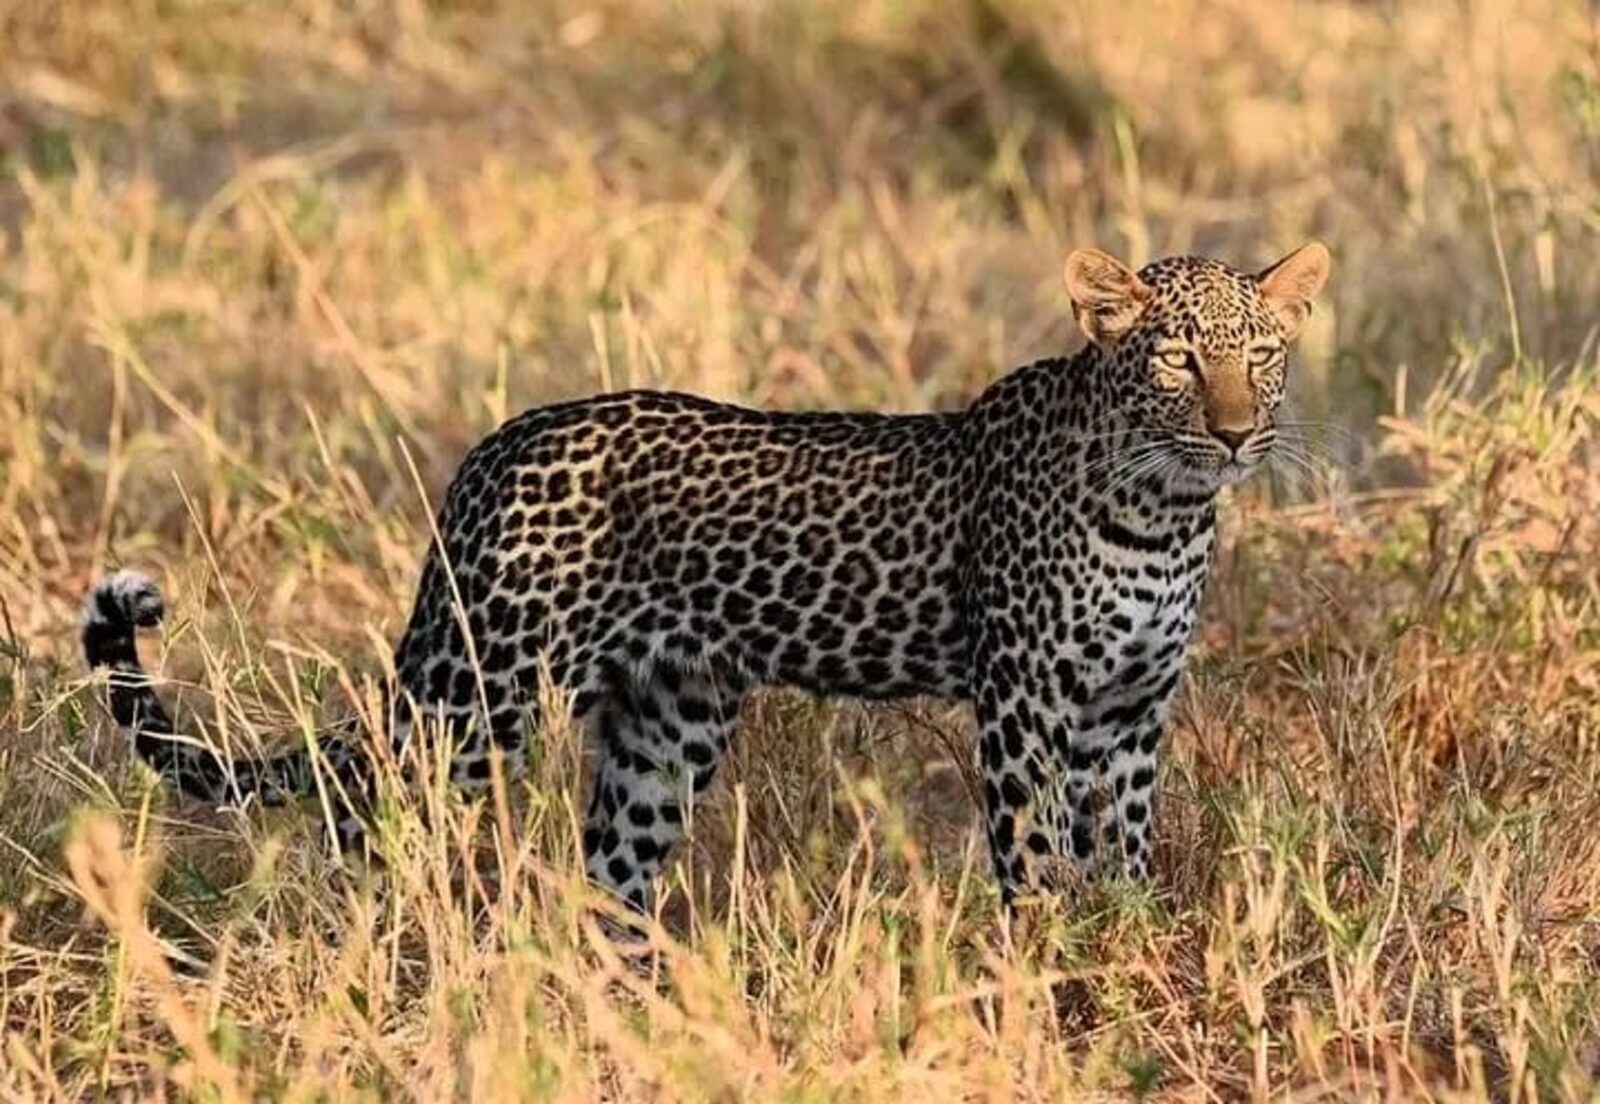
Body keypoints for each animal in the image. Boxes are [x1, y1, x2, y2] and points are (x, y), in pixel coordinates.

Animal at [83, 242, 1331, 912]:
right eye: (1177, 360)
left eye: (1265, 354)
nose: (1235, 436)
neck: (1165, 512)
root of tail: (493, 448)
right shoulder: (1027, 706)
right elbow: (1034, 861)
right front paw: (1054, 980)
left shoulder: (1129, 712)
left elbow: (1125, 848)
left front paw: (1128, 944)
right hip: (478, 692)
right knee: (368, 813)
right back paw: (365, 950)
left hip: (662, 724)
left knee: (607, 884)